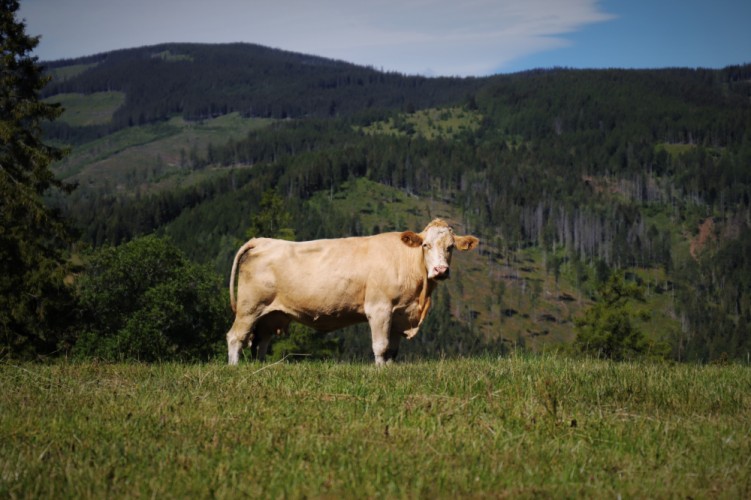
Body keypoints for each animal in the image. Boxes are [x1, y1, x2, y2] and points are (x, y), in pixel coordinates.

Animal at [226, 218, 478, 364]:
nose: (440, 270)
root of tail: (262, 240)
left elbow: (392, 351)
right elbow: (380, 347)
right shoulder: (379, 308)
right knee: (235, 337)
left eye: (451, 247)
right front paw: (380, 374)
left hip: (270, 314)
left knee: (261, 342)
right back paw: (234, 367)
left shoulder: (399, 315)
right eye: (426, 245)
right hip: (249, 307)